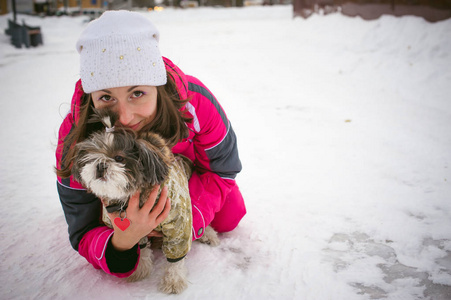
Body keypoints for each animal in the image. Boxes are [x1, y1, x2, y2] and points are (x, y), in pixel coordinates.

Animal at [69, 108, 220, 292]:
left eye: (119, 158)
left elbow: (176, 259)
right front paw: (140, 269)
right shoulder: (133, 230)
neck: (131, 196)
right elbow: (141, 248)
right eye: (91, 157)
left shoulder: (178, 224)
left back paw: (208, 235)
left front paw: (174, 280)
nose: (100, 165)